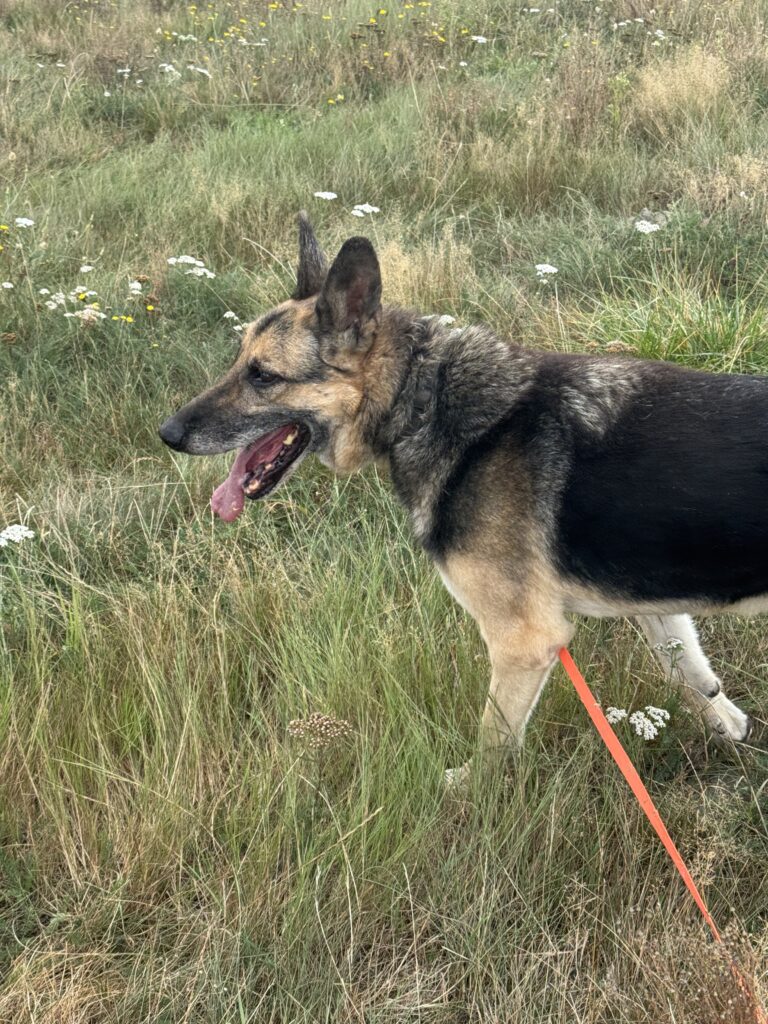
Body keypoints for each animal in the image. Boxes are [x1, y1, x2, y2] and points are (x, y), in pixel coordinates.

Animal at [160, 213, 758, 783]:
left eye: (262, 376)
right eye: (238, 361)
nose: (167, 434)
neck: (425, 398)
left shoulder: (525, 642)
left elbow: (493, 742)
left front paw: (470, 795)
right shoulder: (652, 603)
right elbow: (692, 673)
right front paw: (729, 725)